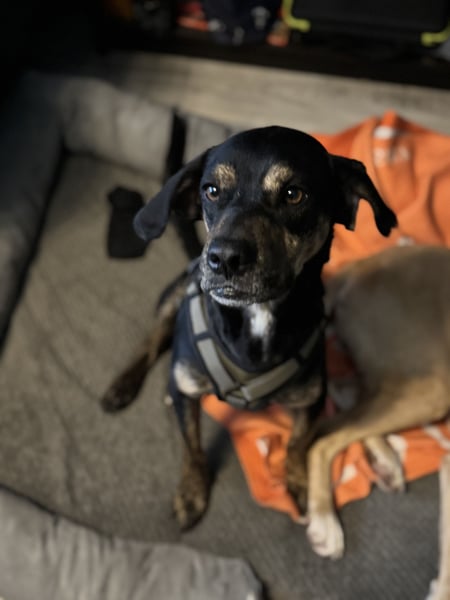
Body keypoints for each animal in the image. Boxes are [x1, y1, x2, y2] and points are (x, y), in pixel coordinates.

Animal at [102, 126, 396, 535]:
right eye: (211, 190)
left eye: (293, 194)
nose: (223, 258)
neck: (257, 315)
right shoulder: (189, 390)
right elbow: (191, 446)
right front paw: (191, 492)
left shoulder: (311, 399)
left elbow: (297, 443)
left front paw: (299, 483)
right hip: (173, 296)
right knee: (153, 340)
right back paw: (125, 385)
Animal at [307, 245, 450, 559]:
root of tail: (358, 267)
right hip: (431, 384)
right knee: (323, 440)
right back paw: (325, 522)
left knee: (347, 393)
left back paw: (385, 462)